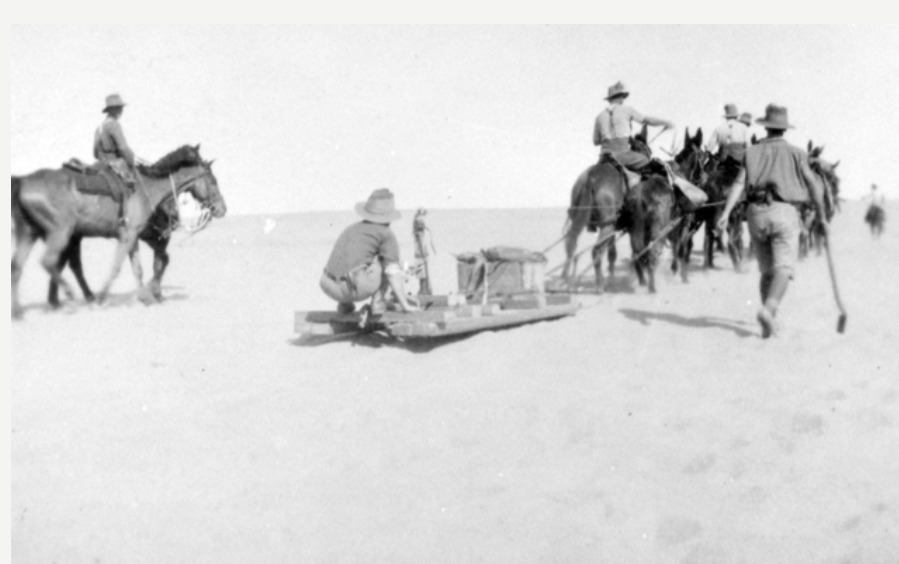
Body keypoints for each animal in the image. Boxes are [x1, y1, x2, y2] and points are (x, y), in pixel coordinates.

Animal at [11, 144, 226, 319]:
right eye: (213, 181)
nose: (221, 209)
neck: (146, 189)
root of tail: (24, 182)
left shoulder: (133, 237)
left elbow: (139, 268)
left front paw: (145, 297)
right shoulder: (129, 235)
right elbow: (118, 267)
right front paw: (103, 297)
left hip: (31, 233)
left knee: (19, 266)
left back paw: (20, 311)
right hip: (60, 232)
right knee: (49, 261)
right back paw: (72, 297)